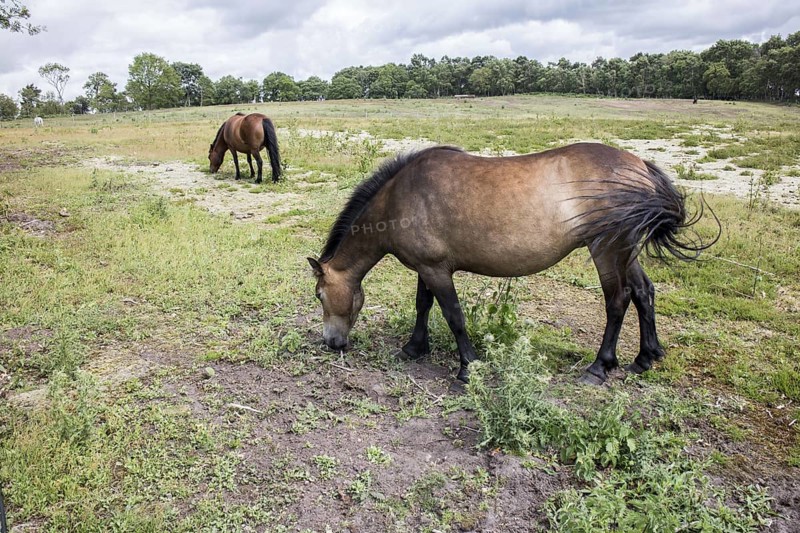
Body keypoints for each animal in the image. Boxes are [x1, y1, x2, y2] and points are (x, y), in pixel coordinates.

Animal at [307, 143, 717, 386]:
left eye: (319, 295)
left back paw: (600, 366)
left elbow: (453, 316)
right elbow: (424, 305)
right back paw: (646, 357)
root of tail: (640, 166)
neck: (398, 198)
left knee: (618, 301)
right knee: (644, 292)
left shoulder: (437, 270)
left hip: (606, 249)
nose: (331, 343)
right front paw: (414, 347)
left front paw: (468, 367)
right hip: (625, 251)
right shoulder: (428, 268)